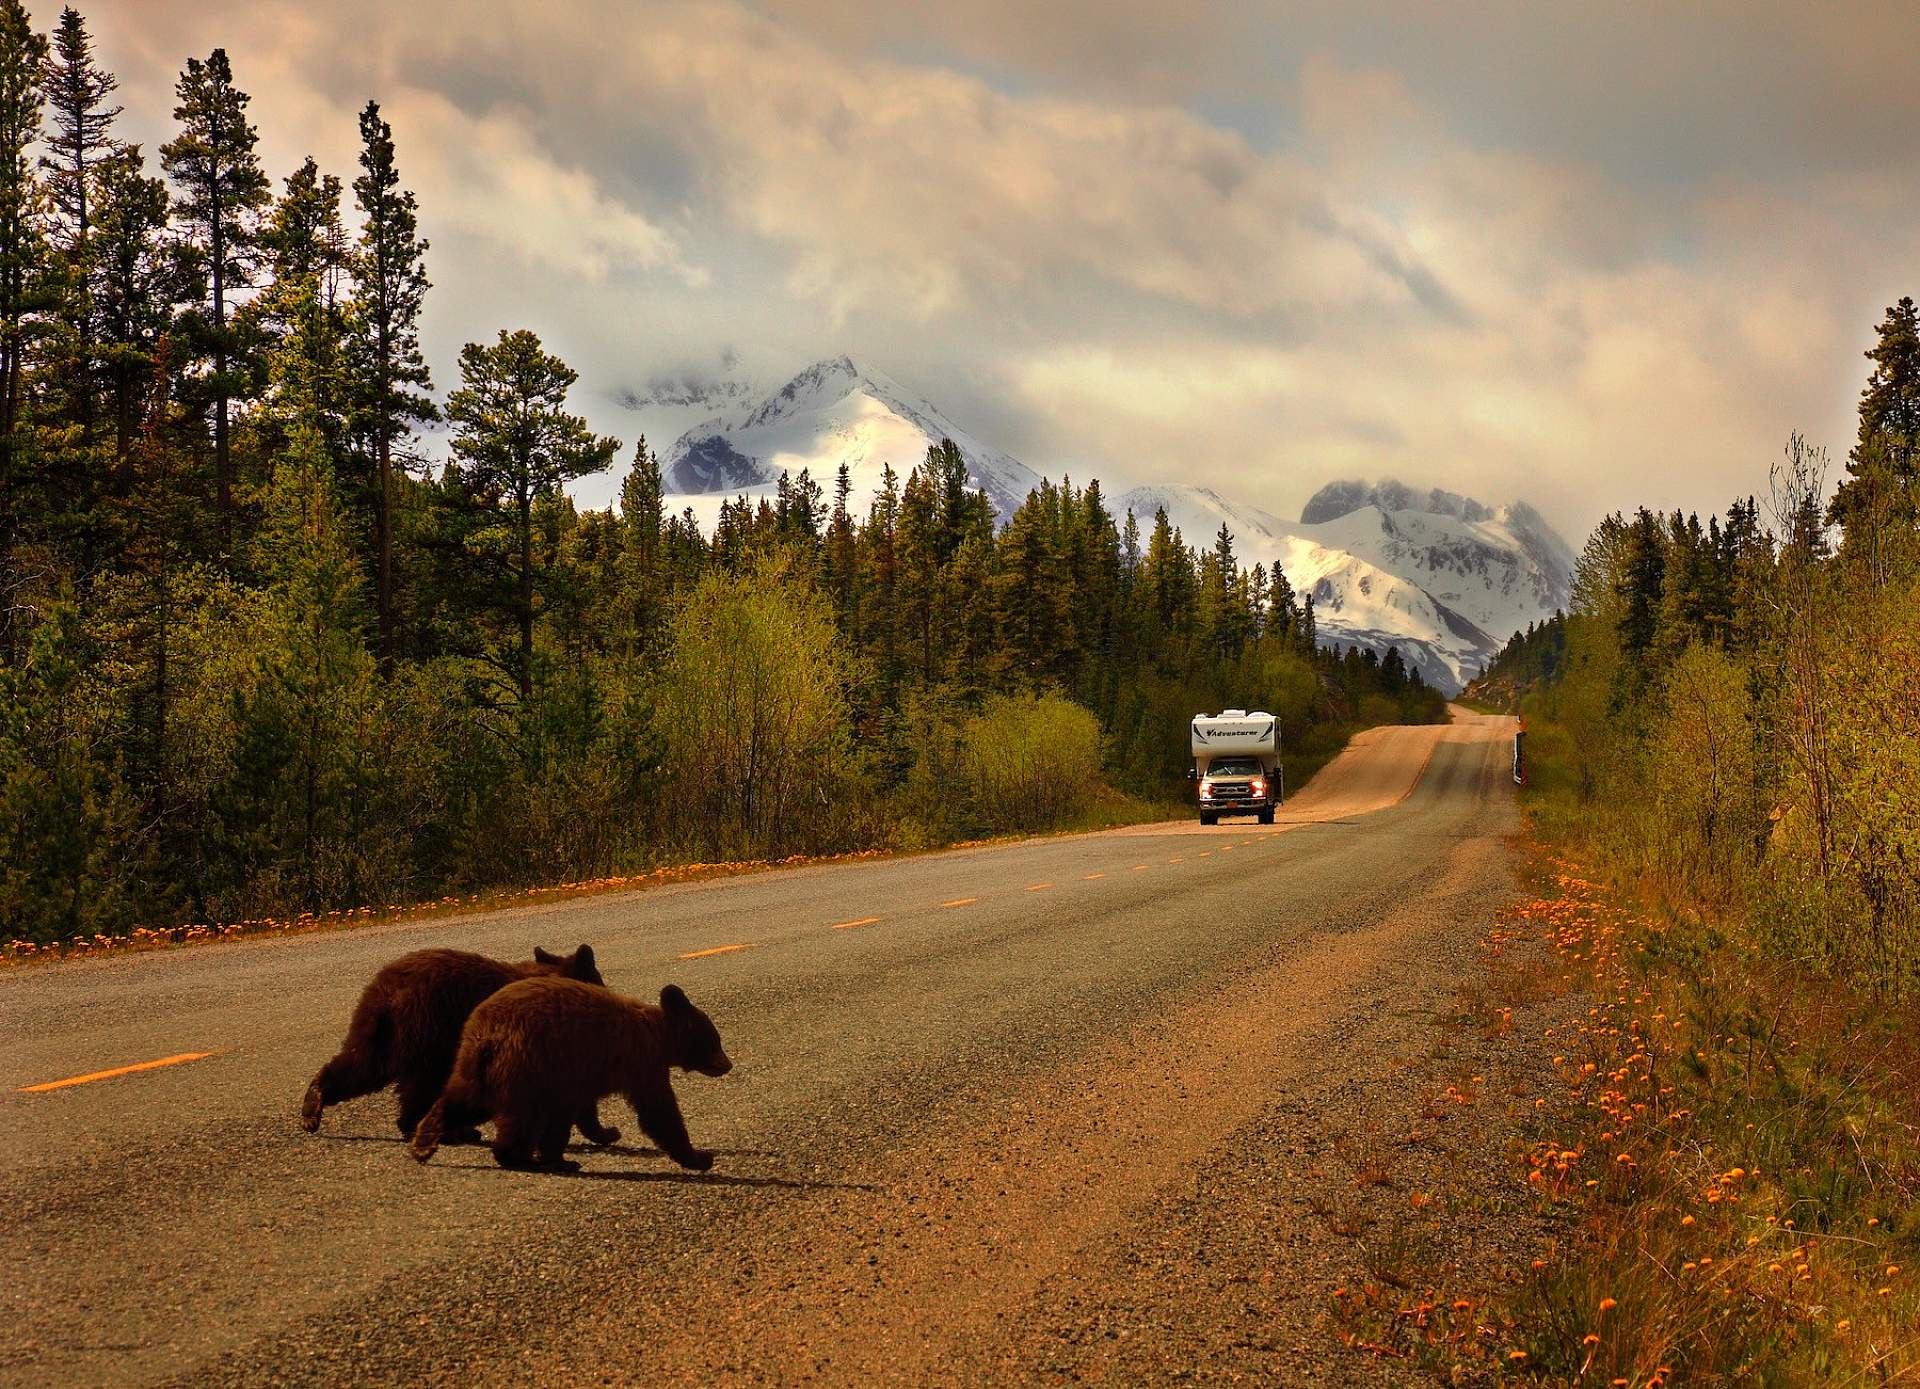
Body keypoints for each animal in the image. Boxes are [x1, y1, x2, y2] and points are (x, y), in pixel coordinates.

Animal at [301, 944, 620, 1147]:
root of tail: (390, 991)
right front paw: (607, 1132)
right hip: (430, 1031)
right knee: (421, 1083)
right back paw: (440, 1130)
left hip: (378, 1029)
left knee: (361, 1065)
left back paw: (313, 1106)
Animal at [409, 978, 732, 1174]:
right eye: (714, 1040)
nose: (727, 1064)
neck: (660, 1037)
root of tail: (488, 1035)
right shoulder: (638, 1064)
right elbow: (659, 1111)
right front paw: (700, 1157)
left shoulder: (577, 1074)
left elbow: (575, 1115)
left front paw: (580, 1146)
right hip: (525, 1069)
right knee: (522, 1119)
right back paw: (517, 1157)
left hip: (479, 1070)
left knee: (463, 1100)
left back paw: (424, 1142)